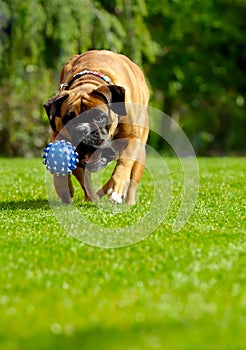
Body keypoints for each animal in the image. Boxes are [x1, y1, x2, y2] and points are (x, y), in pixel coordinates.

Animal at [43, 50, 149, 205]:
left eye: (99, 117)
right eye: (68, 118)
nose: (81, 129)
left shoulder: (131, 139)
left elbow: (124, 164)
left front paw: (117, 189)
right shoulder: (57, 135)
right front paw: (63, 188)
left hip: (140, 152)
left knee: (132, 178)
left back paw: (128, 201)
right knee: (83, 178)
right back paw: (89, 197)